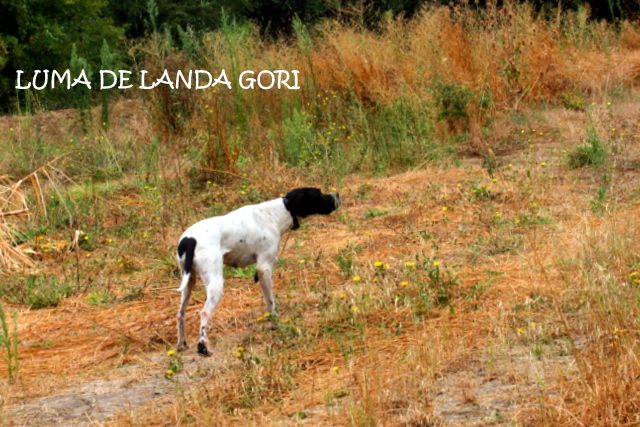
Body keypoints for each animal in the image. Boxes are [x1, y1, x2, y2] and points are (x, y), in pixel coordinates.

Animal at [170, 187, 340, 358]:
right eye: (319, 194)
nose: (337, 195)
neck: (278, 213)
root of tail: (189, 239)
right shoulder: (264, 268)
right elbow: (270, 301)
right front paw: (275, 322)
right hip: (215, 283)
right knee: (204, 313)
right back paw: (203, 347)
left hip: (189, 283)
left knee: (180, 314)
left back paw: (181, 344)